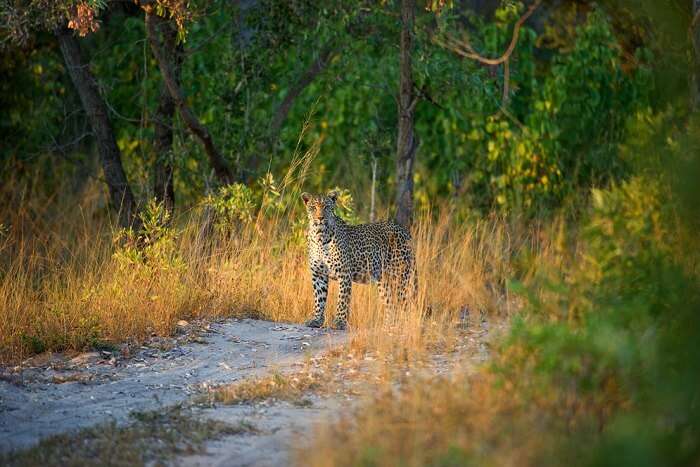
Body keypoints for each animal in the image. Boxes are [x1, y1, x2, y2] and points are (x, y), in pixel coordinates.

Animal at [300, 190, 416, 330]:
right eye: (313, 207)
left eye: (326, 207)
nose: (320, 218)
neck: (320, 236)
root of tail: (404, 231)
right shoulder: (318, 274)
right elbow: (319, 299)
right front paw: (316, 320)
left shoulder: (344, 273)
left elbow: (342, 299)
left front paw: (340, 322)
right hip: (384, 281)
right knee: (391, 304)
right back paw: (388, 326)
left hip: (401, 276)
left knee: (405, 303)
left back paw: (405, 327)